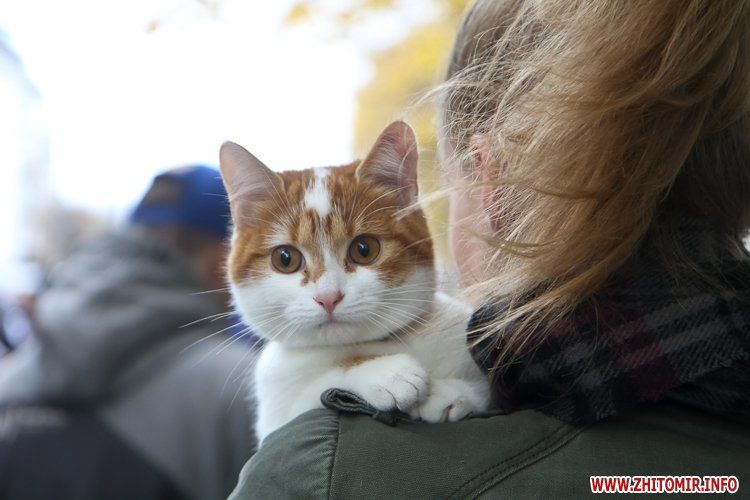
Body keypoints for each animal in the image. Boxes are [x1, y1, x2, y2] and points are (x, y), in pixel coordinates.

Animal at [220, 122, 490, 446]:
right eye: (285, 259)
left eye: (364, 249)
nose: (328, 297)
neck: (371, 344)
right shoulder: (275, 413)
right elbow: (311, 393)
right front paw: (384, 372)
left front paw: (453, 392)